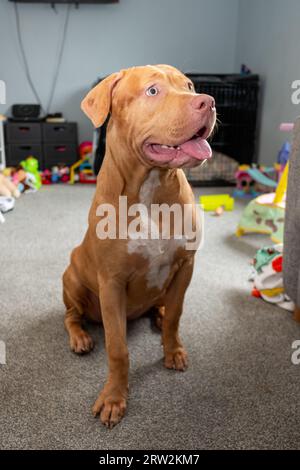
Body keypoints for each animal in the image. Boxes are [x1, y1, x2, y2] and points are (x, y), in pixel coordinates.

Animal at [62, 64, 216, 428]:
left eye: (189, 86)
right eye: (152, 91)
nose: (208, 102)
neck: (151, 184)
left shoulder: (185, 266)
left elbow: (176, 315)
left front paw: (172, 349)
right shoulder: (112, 282)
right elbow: (118, 349)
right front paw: (114, 397)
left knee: (163, 306)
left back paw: (157, 314)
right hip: (72, 276)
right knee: (71, 315)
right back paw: (80, 337)